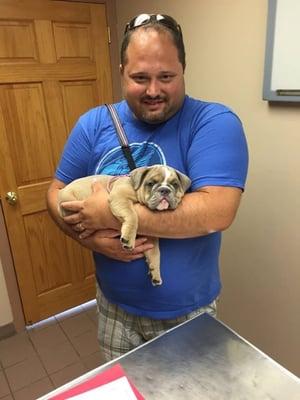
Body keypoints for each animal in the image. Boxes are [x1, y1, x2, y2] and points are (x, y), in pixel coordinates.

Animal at [57, 165, 191, 284]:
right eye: (150, 183)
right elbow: (132, 216)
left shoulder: (150, 237)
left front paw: (156, 273)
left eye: (175, 185)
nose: (165, 190)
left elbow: (155, 253)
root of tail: (61, 192)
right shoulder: (120, 198)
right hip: (69, 201)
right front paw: (128, 239)